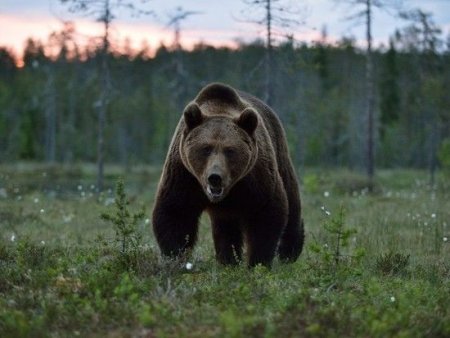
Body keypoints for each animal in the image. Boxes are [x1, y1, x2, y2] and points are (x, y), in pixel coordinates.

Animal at [153, 82, 304, 266]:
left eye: (230, 150)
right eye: (206, 148)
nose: (215, 177)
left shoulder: (256, 178)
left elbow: (267, 213)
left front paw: (257, 262)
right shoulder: (184, 175)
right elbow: (176, 213)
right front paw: (175, 258)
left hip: (279, 152)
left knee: (291, 201)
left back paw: (289, 252)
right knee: (226, 228)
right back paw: (228, 260)